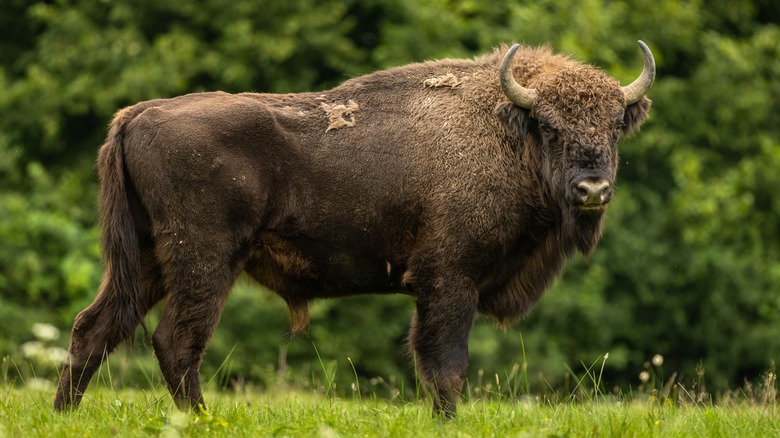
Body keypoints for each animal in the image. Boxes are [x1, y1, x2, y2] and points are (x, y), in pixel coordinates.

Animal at [54, 40, 652, 414]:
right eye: (549, 126)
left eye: (613, 125)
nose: (592, 190)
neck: (506, 128)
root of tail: (137, 115)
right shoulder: (449, 281)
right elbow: (446, 366)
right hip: (203, 260)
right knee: (176, 340)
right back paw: (199, 420)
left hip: (145, 260)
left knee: (95, 328)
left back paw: (66, 415)